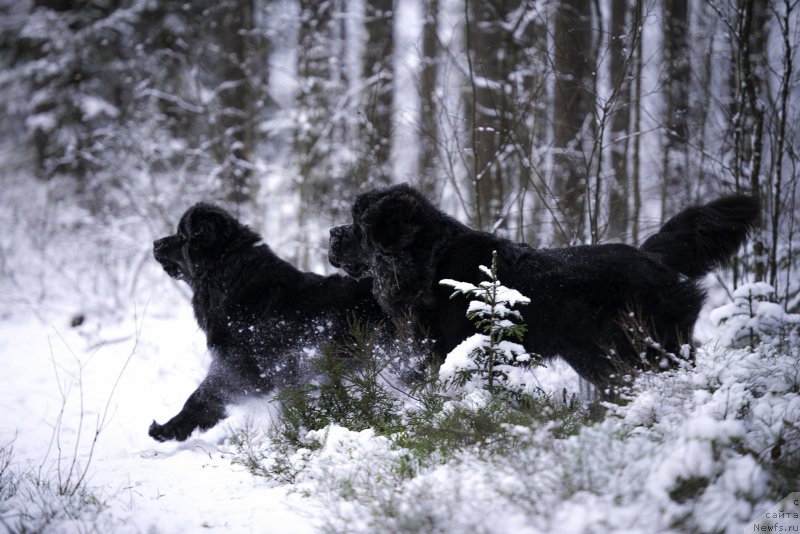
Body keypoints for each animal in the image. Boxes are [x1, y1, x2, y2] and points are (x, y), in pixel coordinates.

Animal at [153, 203, 388, 442]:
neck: (227, 278)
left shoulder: (239, 366)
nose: (156, 243)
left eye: (182, 235)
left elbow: (201, 396)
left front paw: (167, 429)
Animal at [328, 186, 760, 388]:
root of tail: (650, 256)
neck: (430, 263)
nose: (332, 233)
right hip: (600, 356)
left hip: (650, 343)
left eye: (361, 227)